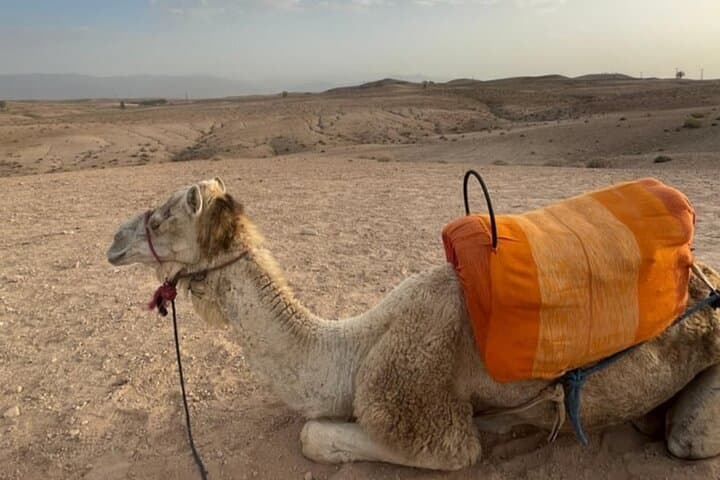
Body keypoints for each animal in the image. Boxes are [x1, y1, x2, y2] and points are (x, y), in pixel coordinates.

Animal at [106, 177, 720, 470]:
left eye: (161, 217)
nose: (113, 241)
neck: (354, 348)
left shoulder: (418, 411)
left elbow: (314, 435)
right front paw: (509, 426)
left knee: (686, 438)